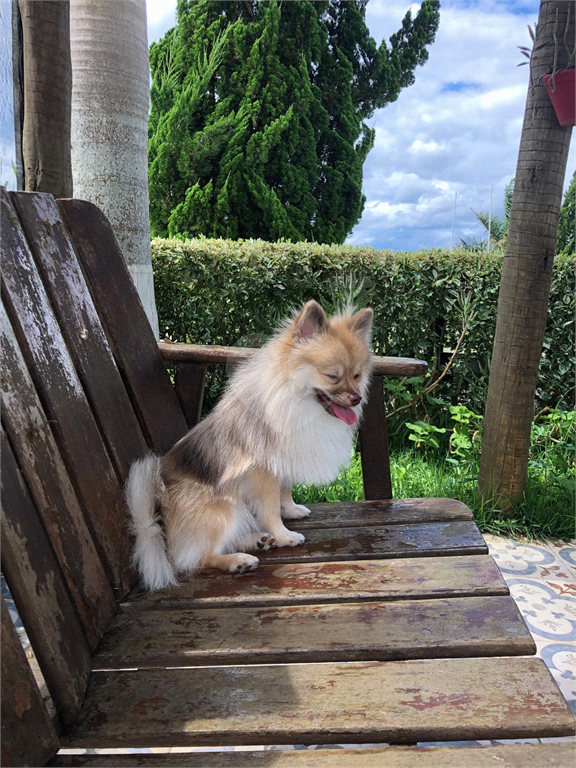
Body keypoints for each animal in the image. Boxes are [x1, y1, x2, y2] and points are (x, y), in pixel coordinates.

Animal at [126, 300, 374, 588]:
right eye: (332, 376)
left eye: (357, 376)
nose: (356, 398)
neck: (298, 403)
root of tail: (159, 522)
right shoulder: (263, 472)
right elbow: (270, 509)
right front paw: (285, 535)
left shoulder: (282, 461)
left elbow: (285, 491)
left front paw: (291, 510)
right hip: (225, 509)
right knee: (196, 558)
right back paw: (238, 560)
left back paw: (258, 540)